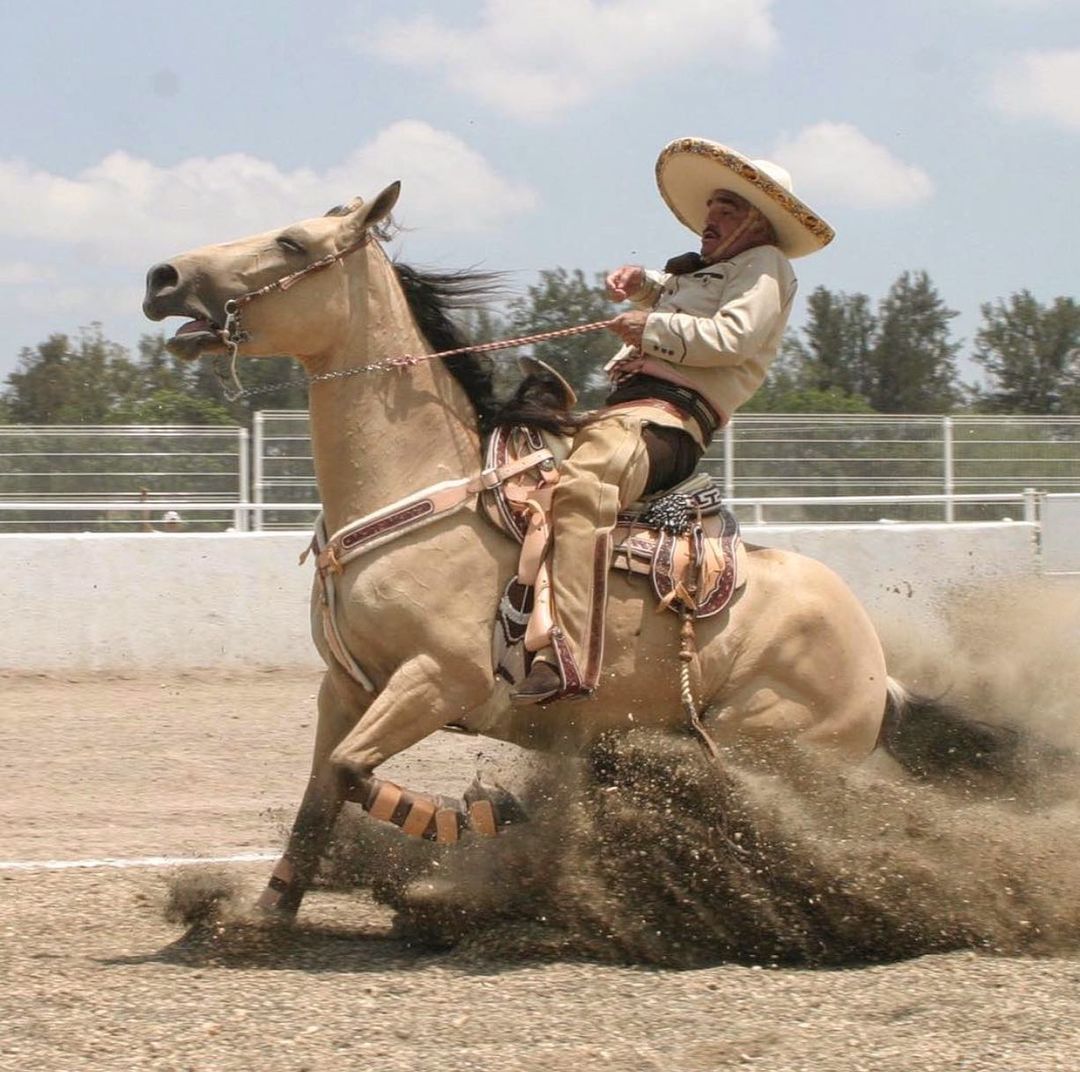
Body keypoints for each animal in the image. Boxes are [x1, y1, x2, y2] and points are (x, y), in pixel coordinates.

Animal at [141, 180, 1019, 915]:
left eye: (291, 243)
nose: (162, 275)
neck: (420, 486)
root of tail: (878, 669)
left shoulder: (437, 679)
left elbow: (353, 773)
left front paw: (485, 818)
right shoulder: (345, 688)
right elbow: (319, 792)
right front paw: (261, 917)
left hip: (769, 750)